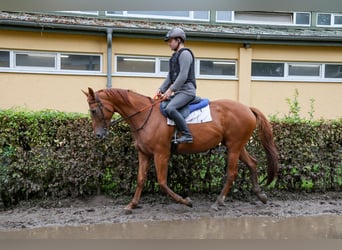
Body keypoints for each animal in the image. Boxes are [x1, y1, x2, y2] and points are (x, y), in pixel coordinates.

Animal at [83, 87, 278, 213]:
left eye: (93, 110)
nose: (98, 135)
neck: (145, 116)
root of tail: (247, 108)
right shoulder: (144, 154)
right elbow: (140, 179)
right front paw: (132, 205)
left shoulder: (161, 154)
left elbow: (162, 182)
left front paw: (186, 201)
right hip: (236, 145)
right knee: (253, 163)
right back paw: (260, 195)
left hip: (234, 147)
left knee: (231, 173)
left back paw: (218, 202)